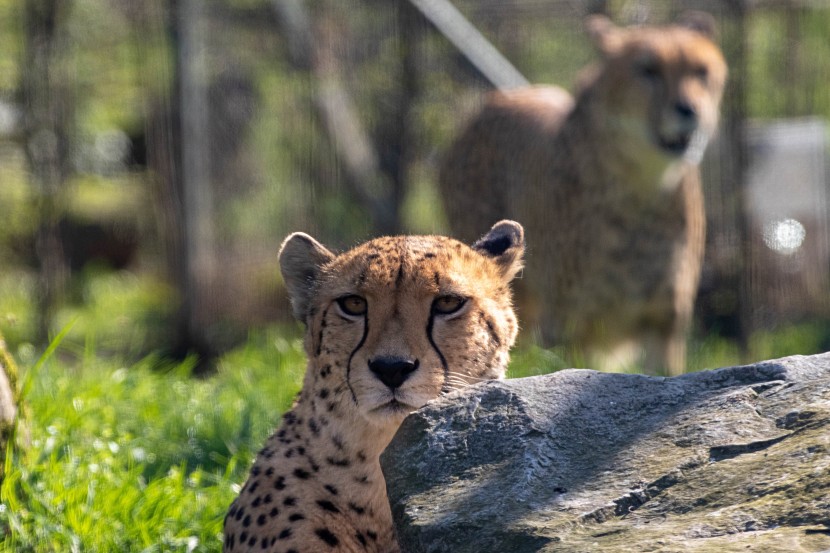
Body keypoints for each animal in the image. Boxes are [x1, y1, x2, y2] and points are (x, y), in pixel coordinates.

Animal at [442, 14, 728, 376]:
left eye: (701, 71)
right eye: (648, 70)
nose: (688, 110)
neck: (644, 188)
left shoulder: (664, 324)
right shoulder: (574, 329)